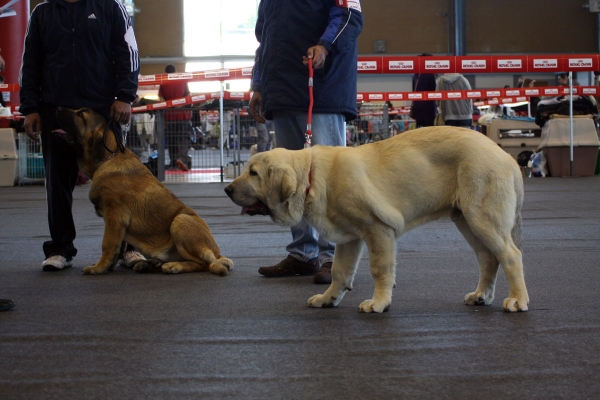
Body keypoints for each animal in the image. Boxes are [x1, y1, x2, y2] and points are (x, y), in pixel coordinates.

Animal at [56, 106, 233, 276]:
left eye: (81, 115)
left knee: (203, 264)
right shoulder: (116, 223)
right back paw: (148, 264)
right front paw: (108, 266)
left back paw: (173, 266)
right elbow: (118, 246)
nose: (57, 108)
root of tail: (218, 253)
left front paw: (98, 268)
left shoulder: (114, 216)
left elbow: (108, 244)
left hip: (181, 220)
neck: (108, 158)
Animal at [225, 126, 528, 314]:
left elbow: (380, 270)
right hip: (467, 219)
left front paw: (379, 303)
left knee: (511, 255)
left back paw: (517, 299)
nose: (227, 190)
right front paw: (328, 299)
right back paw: (481, 296)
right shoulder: (349, 238)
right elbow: (339, 272)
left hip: (482, 217)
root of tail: (506, 156)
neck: (310, 177)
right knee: (488, 258)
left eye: (253, 173)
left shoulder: (378, 229)